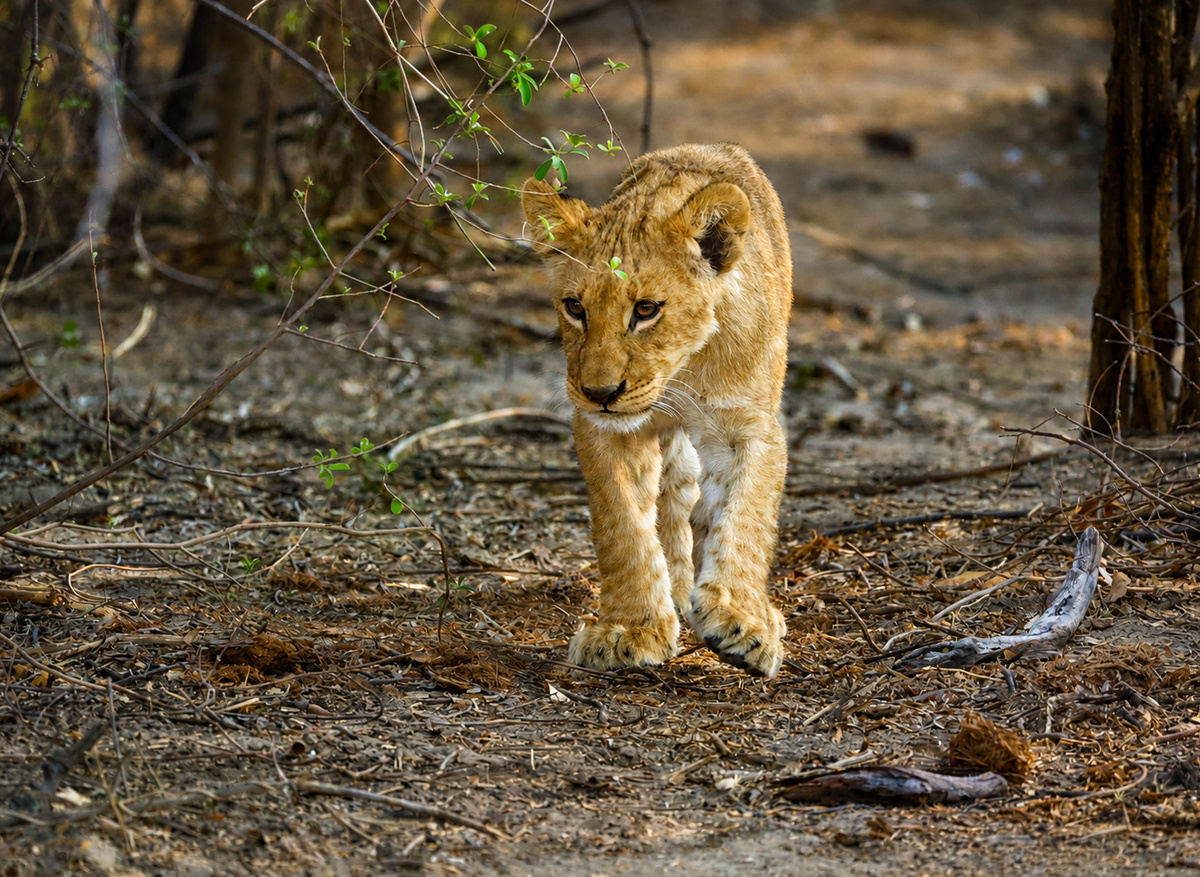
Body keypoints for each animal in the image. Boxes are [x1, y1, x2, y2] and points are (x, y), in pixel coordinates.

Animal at [523, 143, 791, 678]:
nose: (600, 391)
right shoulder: (608, 429)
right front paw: (629, 629)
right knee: (672, 496)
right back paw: (679, 589)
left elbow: (747, 516)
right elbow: (623, 527)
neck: (681, 369)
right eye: (575, 307)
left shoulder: (749, 426)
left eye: (646, 310)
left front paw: (742, 620)